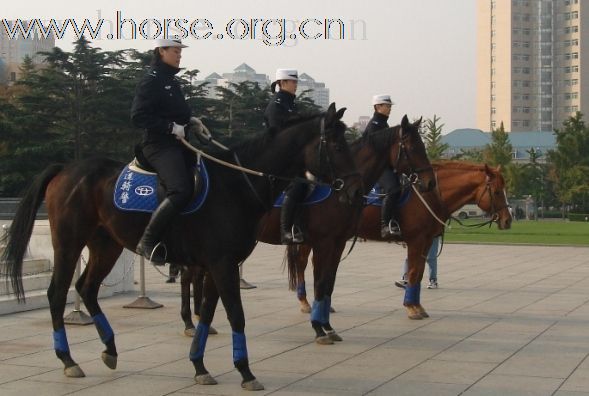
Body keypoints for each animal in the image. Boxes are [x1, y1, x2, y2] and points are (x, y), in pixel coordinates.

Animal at [0, 103, 360, 392]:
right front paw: (245, 371)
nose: (354, 189)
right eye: (337, 143)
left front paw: (200, 365)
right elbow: (235, 314)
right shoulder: (222, 263)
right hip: (69, 242)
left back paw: (110, 349)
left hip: (106, 245)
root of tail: (66, 168)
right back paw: (68, 359)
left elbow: (208, 313)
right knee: (58, 292)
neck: (237, 185)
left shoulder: (218, 264)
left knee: (86, 288)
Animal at [177, 114, 438, 344]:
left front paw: (327, 326)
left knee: (194, 275)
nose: (430, 182)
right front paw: (319, 328)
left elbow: (328, 284)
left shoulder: (337, 243)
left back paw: (199, 320)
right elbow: (321, 284)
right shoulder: (323, 243)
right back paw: (190, 323)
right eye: (413, 147)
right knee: (189, 276)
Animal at [290, 161, 510, 322]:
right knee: (301, 264)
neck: (428, 194)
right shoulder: (416, 240)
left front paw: (417, 305)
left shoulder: (426, 241)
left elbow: (419, 273)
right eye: (497, 191)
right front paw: (411, 308)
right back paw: (305, 302)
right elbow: (412, 272)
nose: (508, 220)